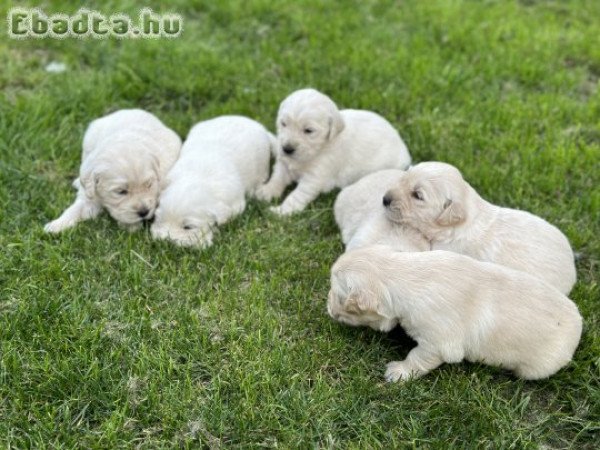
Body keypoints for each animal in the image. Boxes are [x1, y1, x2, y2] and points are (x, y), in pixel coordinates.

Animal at [44, 108, 182, 232]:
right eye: (121, 192)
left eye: (149, 185)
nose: (144, 212)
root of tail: (127, 110)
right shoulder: (90, 195)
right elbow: (76, 209)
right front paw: (56, 225)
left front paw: (130, 225)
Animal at [150, 114, 272, 248]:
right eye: (158, 219)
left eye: (188, 227)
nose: (165, 241)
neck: (198, 177)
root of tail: (257, 125)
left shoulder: (235, 204)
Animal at [255, 89, 410, 215]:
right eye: (283, 123)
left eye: (308, 131)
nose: (286, 149)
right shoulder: (284, 164)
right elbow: (277, 178)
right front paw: (266, 192)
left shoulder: (315, 176)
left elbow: (297, 195)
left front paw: (282, 211)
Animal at [326, 246, 584, 384]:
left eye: (338, 296)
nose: (325, 304)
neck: (403, 273)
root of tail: (579, 324)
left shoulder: (437, 343)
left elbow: (417, 357)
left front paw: (398, 372)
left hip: (536, 368)